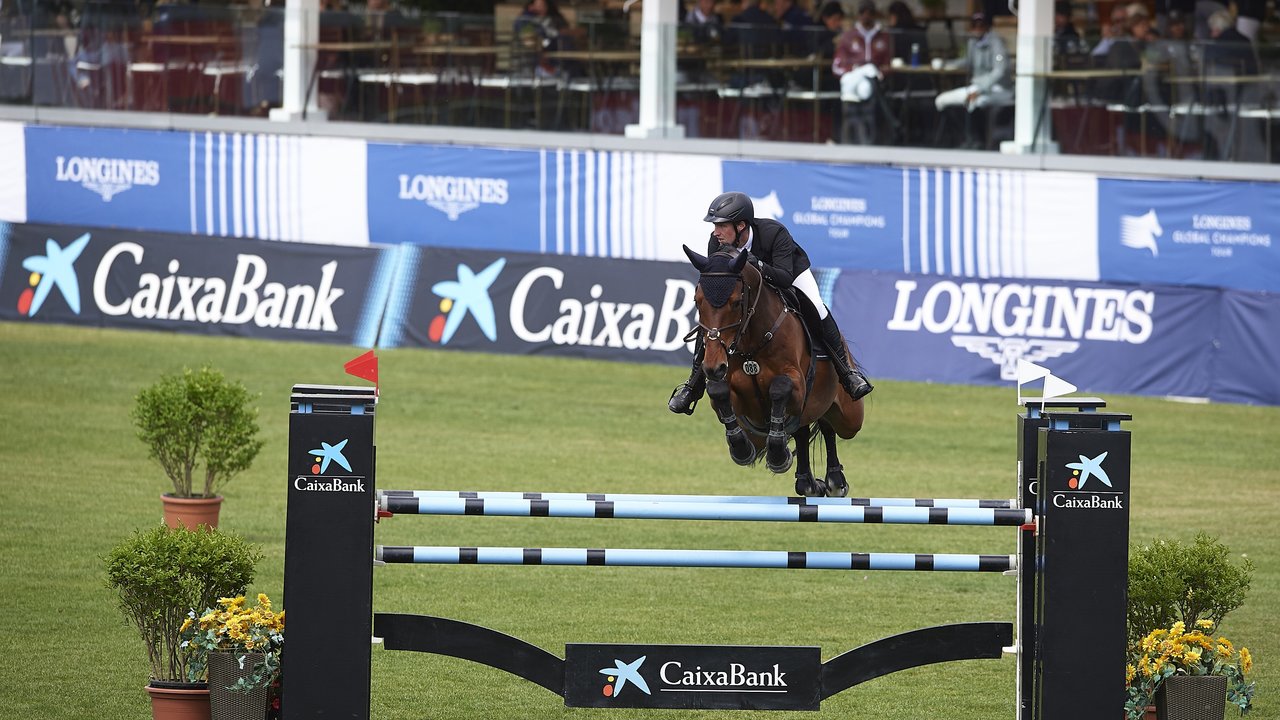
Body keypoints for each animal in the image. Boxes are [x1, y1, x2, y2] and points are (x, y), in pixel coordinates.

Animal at [686, 243, 865, 497]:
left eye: (736, 302)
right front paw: (742, 450)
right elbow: (718, 391)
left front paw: (779, 456)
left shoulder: (797, 385)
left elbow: (780, 387)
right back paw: (808, 483)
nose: (713, 366)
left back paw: (834, 480)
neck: (752, 345)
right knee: (803, 429)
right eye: (697, 301)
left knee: (828, 425)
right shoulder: (740, 407)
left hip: (850, 418)